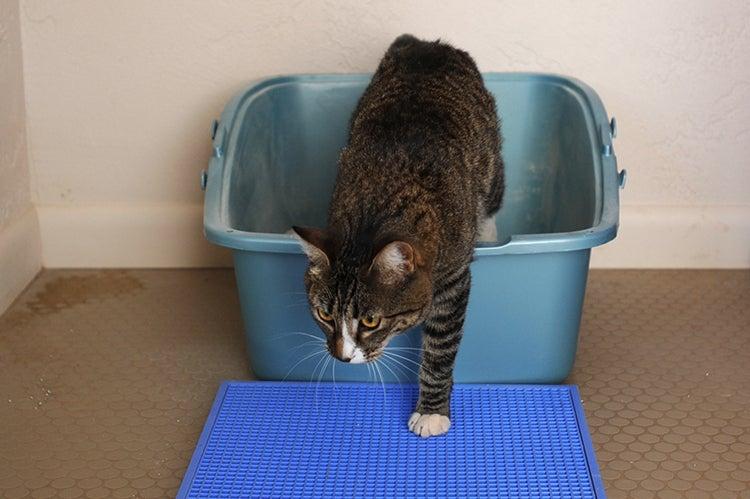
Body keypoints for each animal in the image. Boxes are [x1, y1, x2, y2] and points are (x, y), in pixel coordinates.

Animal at [294, 34, 506, 438]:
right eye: (325, 315)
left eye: (371, 322)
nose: (343, 356)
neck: (377, 209)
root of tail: (426, 44)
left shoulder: (453, 279)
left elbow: (439, 349)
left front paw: (431, 411)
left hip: (492, 166)